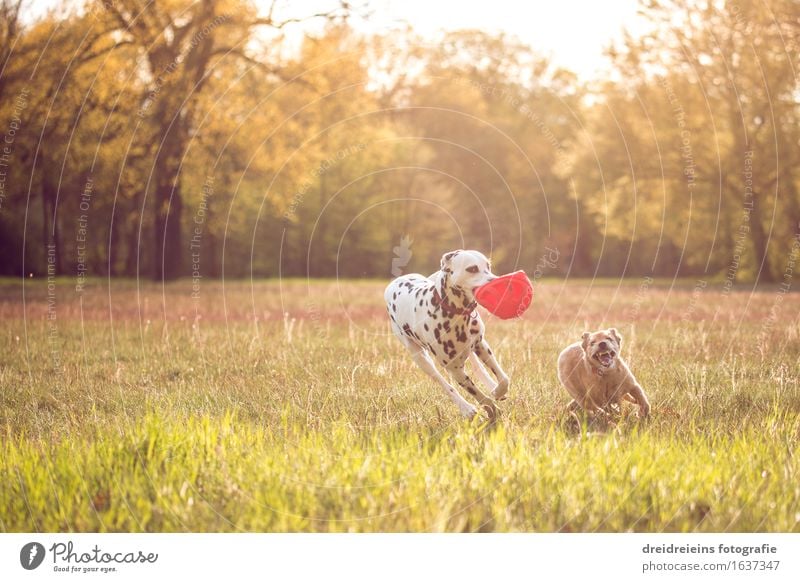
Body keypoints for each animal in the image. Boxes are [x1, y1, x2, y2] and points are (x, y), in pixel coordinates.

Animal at [384, 251, 510, 420]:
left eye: (488, 266)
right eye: (472, 268)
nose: (497, 282)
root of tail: (394, 283)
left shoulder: (481, 345)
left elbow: (504, 379)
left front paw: (497, 391)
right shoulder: (455, 370)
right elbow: (479, 395)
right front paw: (489, 409)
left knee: (477, 367)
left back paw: (491, 386)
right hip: (421, 358)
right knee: (444, 384)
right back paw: (465, 408)